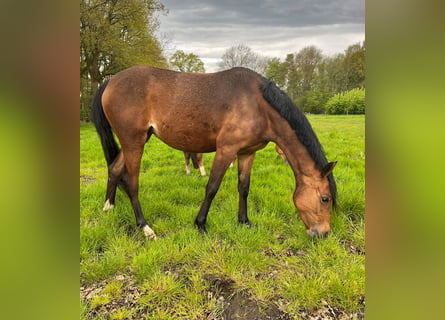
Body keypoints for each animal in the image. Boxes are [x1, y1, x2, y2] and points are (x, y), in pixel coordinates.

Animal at [91, 65, 336, 240]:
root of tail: (110, 81)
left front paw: (244, 221)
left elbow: (244, 187)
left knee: (114, 169)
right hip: (134, 141)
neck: (258, 105)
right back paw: (144, 227)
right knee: (132, 182)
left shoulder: (247, 153)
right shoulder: (226, 150)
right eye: (325, 198)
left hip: (136, 140)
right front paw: (200, 224)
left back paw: (108, 207)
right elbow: (212, 187)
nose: (323, 233)